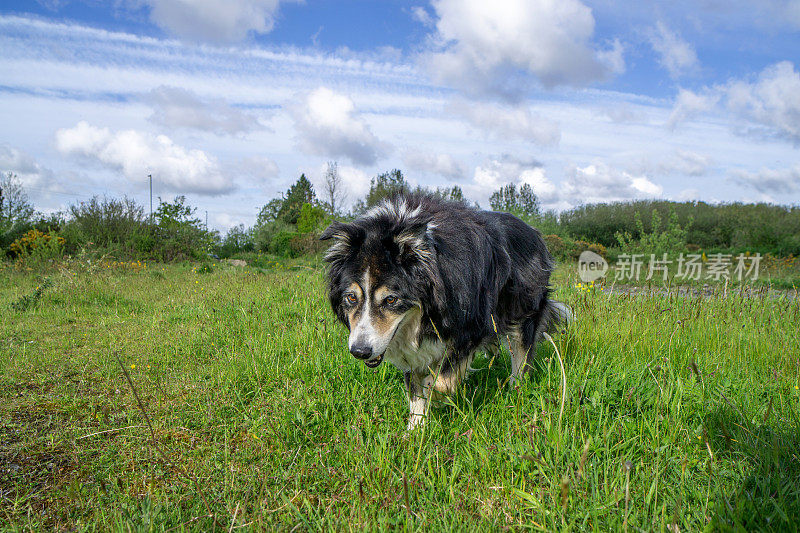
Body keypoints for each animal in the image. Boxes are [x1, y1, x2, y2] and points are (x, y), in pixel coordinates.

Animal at [318, 191, 568, 428]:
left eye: (390, 300)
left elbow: (441, 380)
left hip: (525, 305)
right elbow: (415, 387)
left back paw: (515, 390)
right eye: (351, 297)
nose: (360, 351)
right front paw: (415, 429)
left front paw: (435, 395)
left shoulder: (471, 325)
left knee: (521, 351)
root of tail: (533, 231)